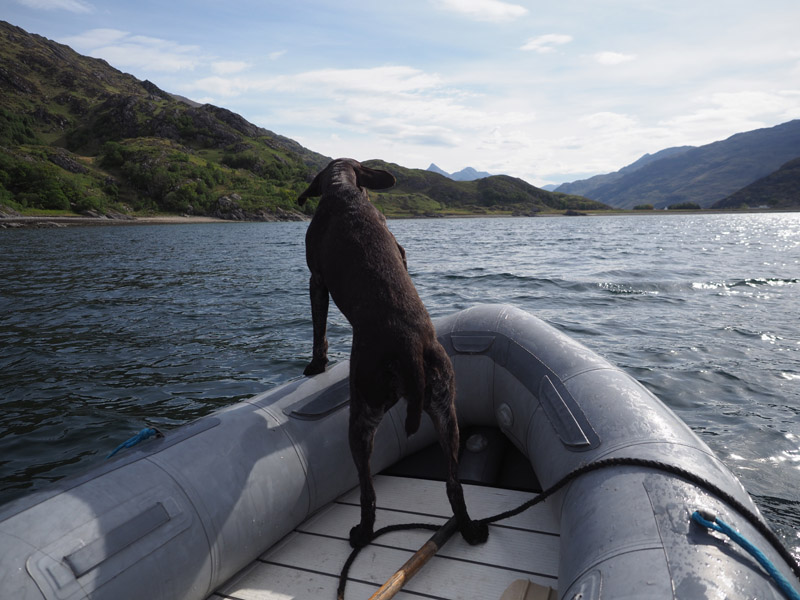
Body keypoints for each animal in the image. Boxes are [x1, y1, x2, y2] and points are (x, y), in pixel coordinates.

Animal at [298, 158, 488, 548]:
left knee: (368, 491)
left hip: (362, 413)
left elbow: (318, 330)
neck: (344, 189)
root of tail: (411, 348)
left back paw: (362, 533)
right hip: (446, 409)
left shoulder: (316, 279)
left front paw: (315, 365)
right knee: (454, 486)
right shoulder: (402, 251)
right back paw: (468, 528)